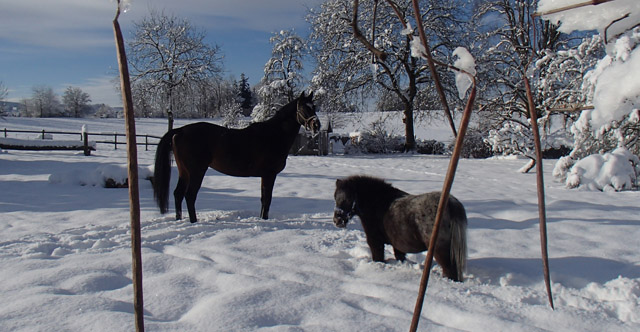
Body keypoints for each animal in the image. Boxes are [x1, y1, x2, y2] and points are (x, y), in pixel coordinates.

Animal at [153, 92, 322, 223]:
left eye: (314, 107)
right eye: (303, 108)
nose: (316, 125)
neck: (273, 135)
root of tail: (180, 130)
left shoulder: (265, 176)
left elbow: (263, 199)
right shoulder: (269, 174)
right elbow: (267, 199)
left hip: (184, 172)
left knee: (178, 194)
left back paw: (179, 219)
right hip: (196, 172)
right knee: (189, 196)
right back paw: (193, 222)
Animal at [332, 175, 468, 282]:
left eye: (348, 198)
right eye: (335, 197)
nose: (337, 220)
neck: (378, 204)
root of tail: (451, 204)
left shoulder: (375, 242)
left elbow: (378, 258)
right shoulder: (398, 246)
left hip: (441, 250)